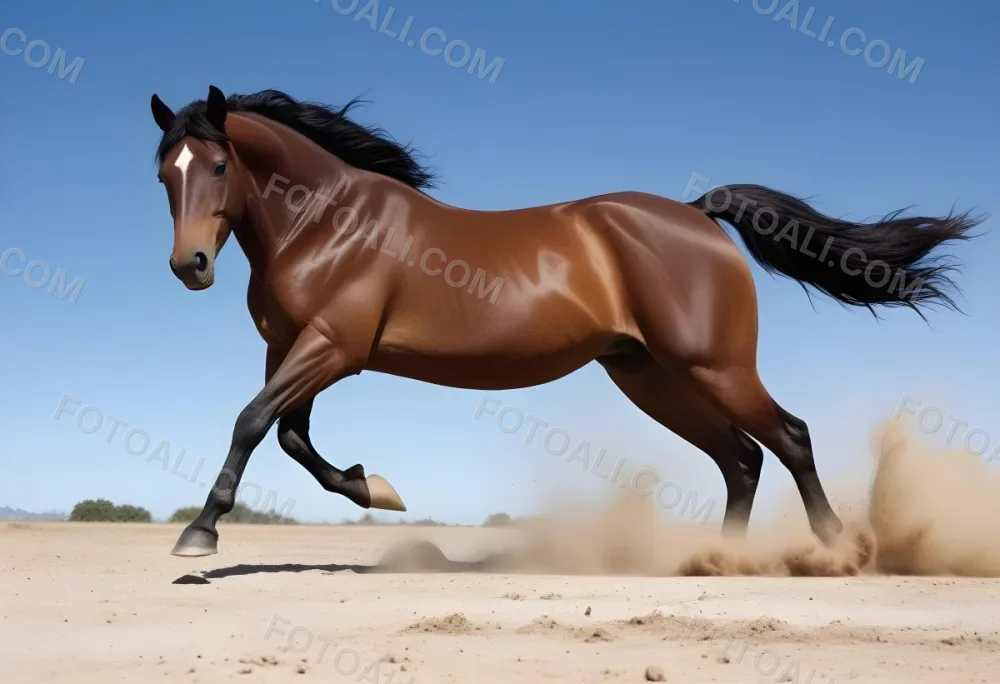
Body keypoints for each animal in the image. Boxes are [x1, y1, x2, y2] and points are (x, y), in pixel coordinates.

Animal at [150, 86, 981, 557]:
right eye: (164, 173)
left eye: (218, 166)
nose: (190, 266)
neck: (328, 222)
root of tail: (698, 213)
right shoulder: (295, 350)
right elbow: (291, 437)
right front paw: (375, 488)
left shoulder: (331, 348)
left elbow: (252, 423)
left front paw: (199, 535)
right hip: (650, 376)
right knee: (742, 459)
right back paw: (726, 564)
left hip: (714, 367)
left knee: (790, 438)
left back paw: (837, 549)